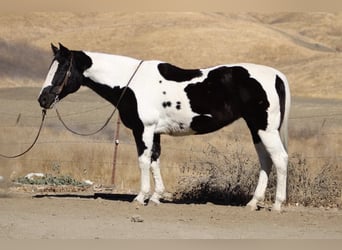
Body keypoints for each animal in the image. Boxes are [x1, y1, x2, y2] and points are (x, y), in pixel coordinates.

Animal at [39, 43, 292, 211]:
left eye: (62, 69)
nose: (43, 99)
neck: (131, 82)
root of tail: (277, 75)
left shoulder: (143, 129)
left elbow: (143, 160)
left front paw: (141, 197)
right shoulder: (155, 132)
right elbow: (155, 160)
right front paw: (156, 197)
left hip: (265, 129)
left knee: (279, 159)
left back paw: (277, 205)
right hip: (256, 129)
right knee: (266, 160)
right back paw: (253, 202)